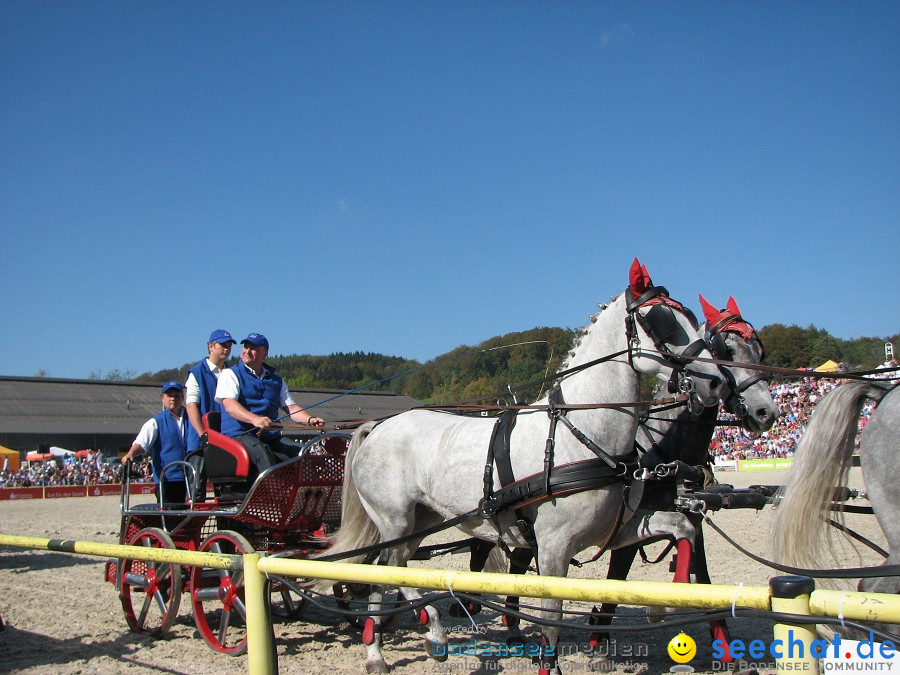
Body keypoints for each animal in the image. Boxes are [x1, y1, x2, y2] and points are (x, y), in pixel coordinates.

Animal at [324, 260, 724, 675]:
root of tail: (377, 426)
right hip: (395, 521)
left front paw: (663, 607)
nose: (716, 383)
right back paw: (416, 635)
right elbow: (551, 622)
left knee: (391, 569)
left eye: (692, 317)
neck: (581, 433)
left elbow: (682, 529)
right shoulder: (553, 547)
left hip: (422, 522)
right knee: (382, 570)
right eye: (661, 320)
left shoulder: (615, 530)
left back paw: (390, 647)